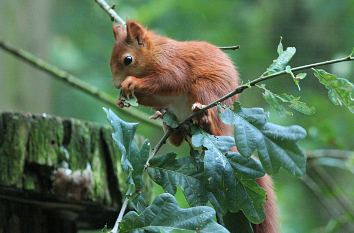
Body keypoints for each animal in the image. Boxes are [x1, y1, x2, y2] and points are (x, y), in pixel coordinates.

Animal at [109, 20, 278, 233]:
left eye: (128, 59)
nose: (116, 85)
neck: (155, 52)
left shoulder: (172, 64)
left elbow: (172, 79)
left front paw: (132, 82)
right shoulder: (162, 96)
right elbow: (157, 95)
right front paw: (122, 100)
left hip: (206, 90)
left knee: (211, 123)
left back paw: (205, 120)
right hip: (175, 110)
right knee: (177, 136)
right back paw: (169, 128)